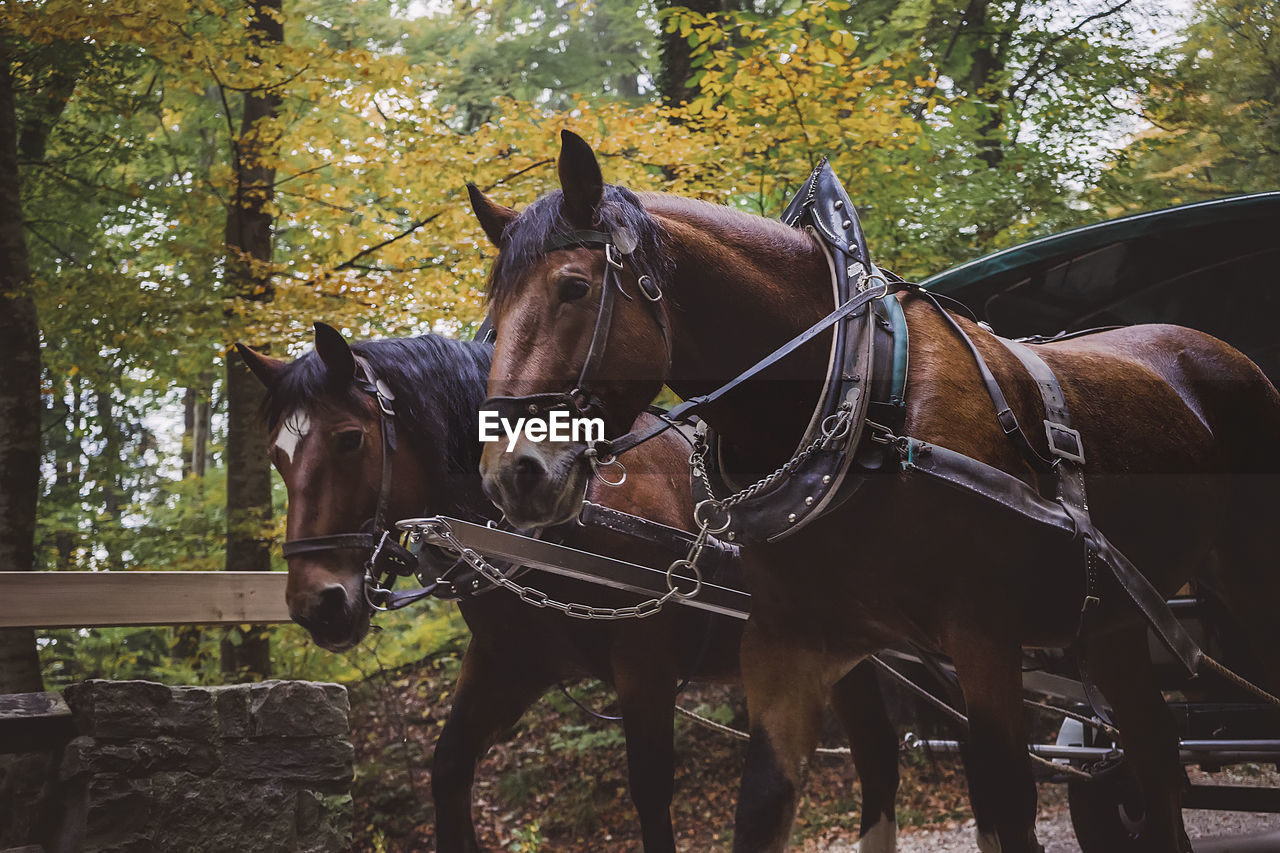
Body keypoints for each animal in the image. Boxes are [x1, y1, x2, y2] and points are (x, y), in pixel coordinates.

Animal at [238, 322, 901, 845]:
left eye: (350, 439)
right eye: (276, 456)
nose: (318, 605)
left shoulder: (645, 663)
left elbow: (651, 793)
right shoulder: (510, 662)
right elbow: (449, 769)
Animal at [471, 131, 1280, 850]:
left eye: (574, 288)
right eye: (493, 319)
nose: (511, 475)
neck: (862, 399)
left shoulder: (983, 636)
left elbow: (1005, 804)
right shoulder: (794, 643)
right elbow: (764, 804)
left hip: (1246, 579)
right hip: (1112, 621)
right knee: (1157, 762)